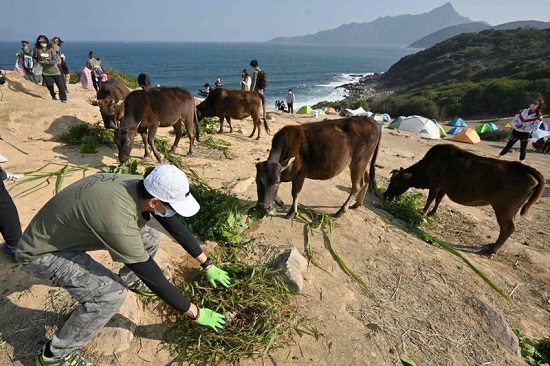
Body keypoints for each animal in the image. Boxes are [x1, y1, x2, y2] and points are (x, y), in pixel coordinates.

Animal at [384, 144, 548, 254]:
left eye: (395, 182)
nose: (385, 195)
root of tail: (525, 168)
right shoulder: (444, 186)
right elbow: (438, 200)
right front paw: (432, 213)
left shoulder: (435, 182)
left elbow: (431, 198)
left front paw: (422, 212)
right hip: (512, 209)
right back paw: (491, 246)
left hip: (503, 208)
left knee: (508, 228)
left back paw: (492, 250)